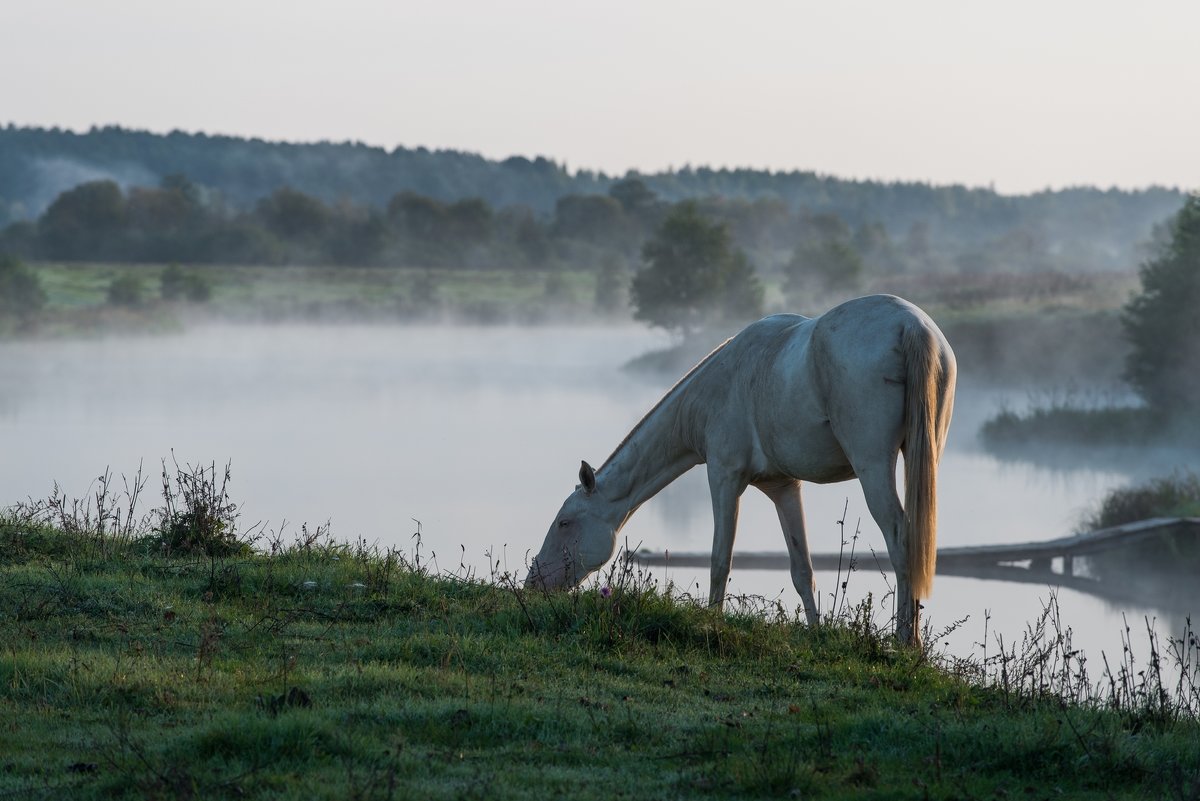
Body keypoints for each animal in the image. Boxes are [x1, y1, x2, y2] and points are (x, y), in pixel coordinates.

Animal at [528, 293, 955, 642]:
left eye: (564, 522)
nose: (534, 581)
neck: (723, 384)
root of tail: (911, 325)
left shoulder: (723, 476)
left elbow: (721, 559)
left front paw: (711, 624)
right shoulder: (784, 487)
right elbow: (802, 569)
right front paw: (816, 633)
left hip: (873, 466)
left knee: (900, 537)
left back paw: (905, 641)